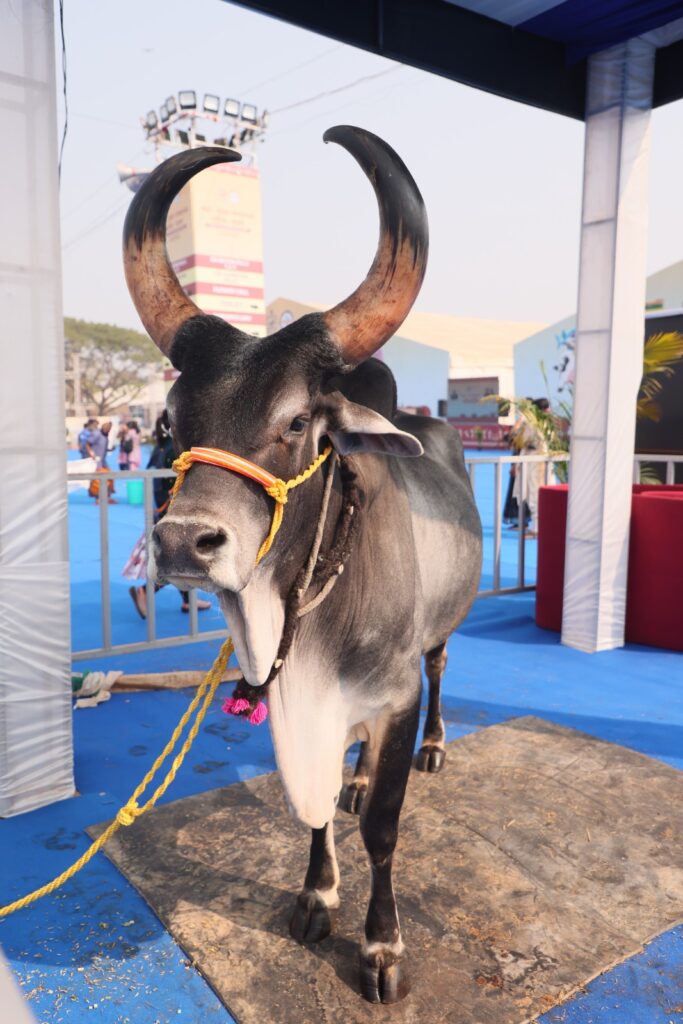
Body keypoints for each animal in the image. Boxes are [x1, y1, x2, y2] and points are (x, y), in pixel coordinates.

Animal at [123, 125, 482, 1004]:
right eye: (172, 421)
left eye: (294, 423)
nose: (183, 543)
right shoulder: (299, 703)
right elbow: (315, 812)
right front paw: (317, 894)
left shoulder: (391, 696)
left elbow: (383, 831)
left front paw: (381, 947)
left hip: (436, 642)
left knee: (441, 672)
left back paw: (433, 746)